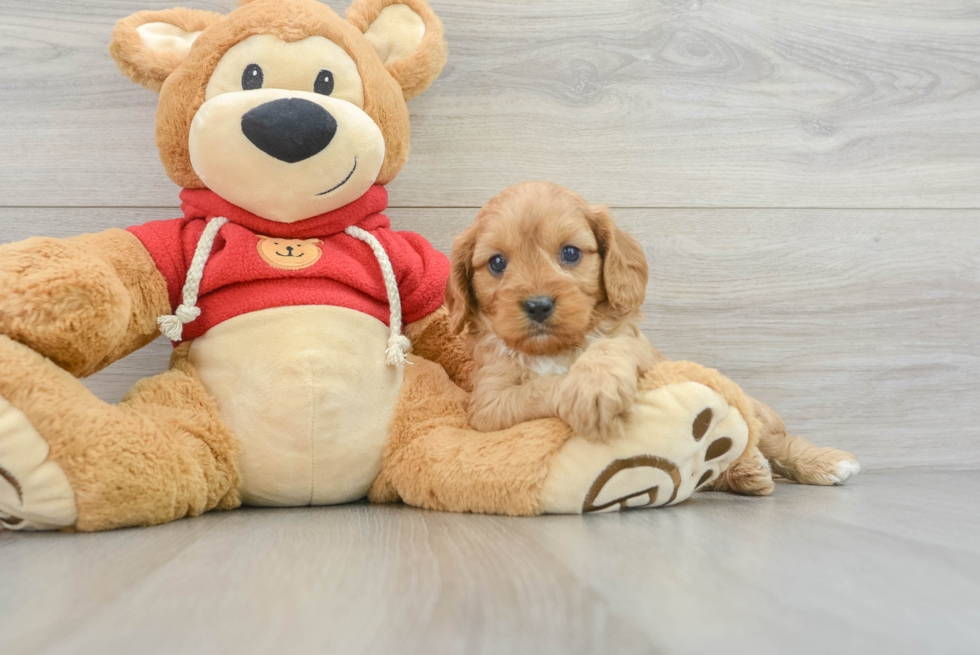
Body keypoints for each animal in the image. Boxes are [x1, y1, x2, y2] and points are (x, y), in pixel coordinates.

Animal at [448, 181, 664, 440]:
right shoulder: (488, 404)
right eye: (497, 263)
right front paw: (581, 394)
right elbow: (536, 390)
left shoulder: (649, 352)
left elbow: (614, 344)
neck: (551, 351)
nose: (538, 306)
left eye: (570, 252)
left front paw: (596, 384)